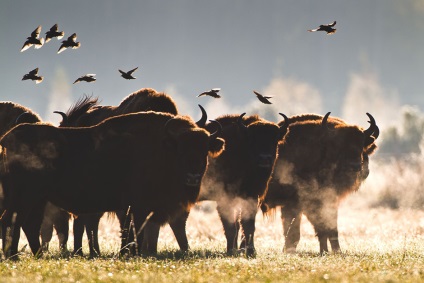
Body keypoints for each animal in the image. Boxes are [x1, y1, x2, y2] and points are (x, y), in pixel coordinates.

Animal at [0, 111, 225, 260]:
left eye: (204, 148)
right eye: (181, 147)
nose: (193, 176)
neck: (162, 147)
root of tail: (8, 138)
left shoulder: (129, 208)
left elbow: (129, 231)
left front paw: (126, 253)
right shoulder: (138, 207)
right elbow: (134, 231)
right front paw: (131, 254)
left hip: (38, 199)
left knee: (28, 225)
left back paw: (35, 255)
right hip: (25, 197)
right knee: (12, 221)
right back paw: (14, 257)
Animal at [142, 112, 288, 258]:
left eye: (275, 139)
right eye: (252, 139)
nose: (265, 158)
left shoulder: (250, 197)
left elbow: (247, 224)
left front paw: (249, 251)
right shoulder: (225, 199)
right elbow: (231, 226)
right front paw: (232, 250)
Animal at [264, 112, 380, 255]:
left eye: (361, 144)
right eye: (339, 144)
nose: (355, 166)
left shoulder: (327, 201)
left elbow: (328, 228)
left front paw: (331, 251)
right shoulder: (299, 204)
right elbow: (297, 231)